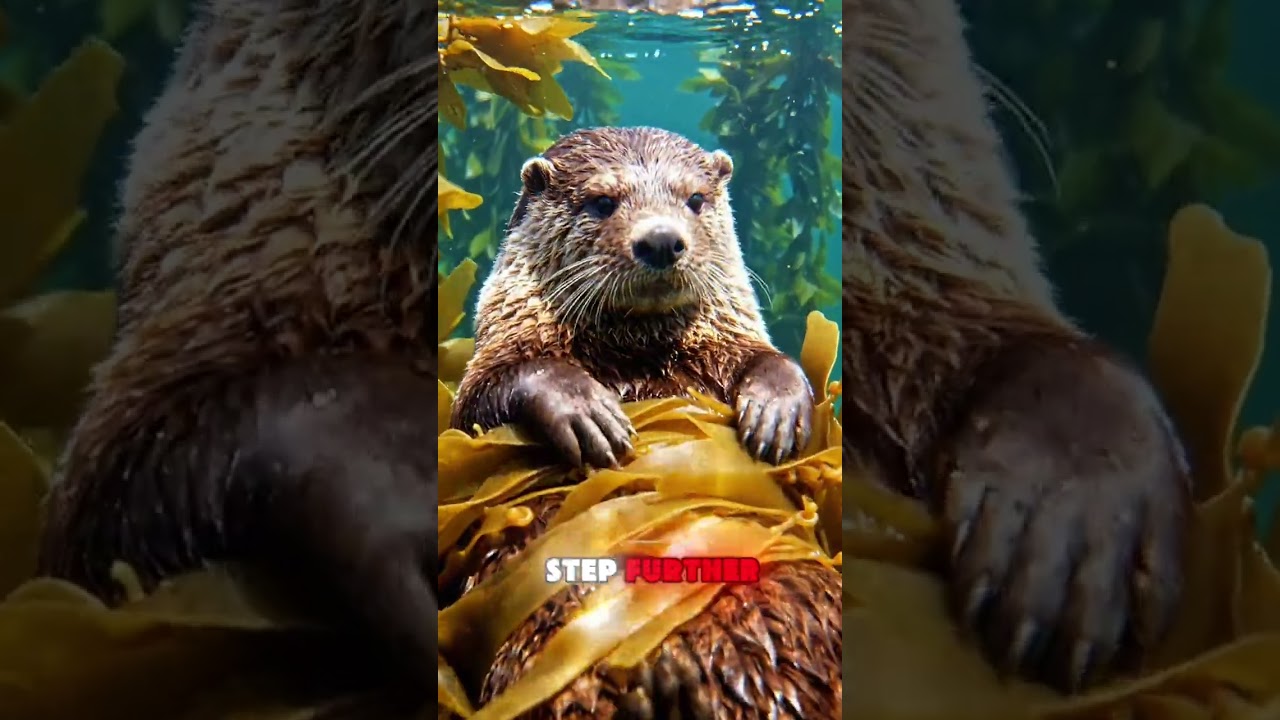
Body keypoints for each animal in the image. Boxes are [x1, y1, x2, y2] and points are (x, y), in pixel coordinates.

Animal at [446, 127, 840, 719]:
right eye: (601, 202)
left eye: (694, 199)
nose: (660, 239)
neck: (637, 361)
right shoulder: (494, 358)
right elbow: (497, 388)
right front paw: (585, 410)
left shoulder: (734, 338)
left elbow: (772, 358)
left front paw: (775, 410)